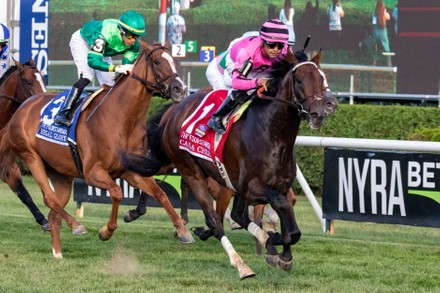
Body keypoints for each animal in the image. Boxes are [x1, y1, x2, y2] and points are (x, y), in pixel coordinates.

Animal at [119, 49, 336, 278]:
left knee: (235, 214)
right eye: (300, 80)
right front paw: (275, 241)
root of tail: (175, 111)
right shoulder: (252, 187)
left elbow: (290, 223)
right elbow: (279, 209)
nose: (322, 109)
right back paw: (241, 264)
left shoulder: (279, 186)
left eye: (322, 77)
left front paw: (281, 252)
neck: (272, 135)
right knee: (214, 220)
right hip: (190, 170)